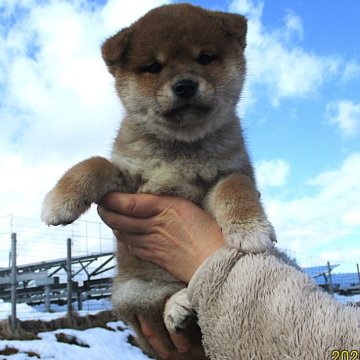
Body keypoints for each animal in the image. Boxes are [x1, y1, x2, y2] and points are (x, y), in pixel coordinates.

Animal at [41, 3, 276, 358]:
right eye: (154, 67)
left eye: (205, 58)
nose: (185, 85)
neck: (179, 147)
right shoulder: (126, 177)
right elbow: (94, 164)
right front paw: (58, 202)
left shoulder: (226, 174)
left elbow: (236, 189)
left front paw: (250, 230)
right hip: (131, 294)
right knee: (161, 309)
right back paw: (180, 310)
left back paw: (182, 310)